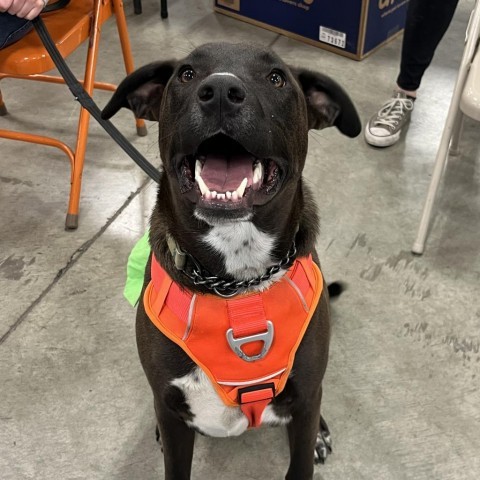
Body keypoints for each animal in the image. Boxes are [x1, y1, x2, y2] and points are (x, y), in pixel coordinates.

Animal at [102, 43, 360, 478]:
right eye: (187, 74)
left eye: (276, 78)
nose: (221, 91)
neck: (238, 283)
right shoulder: (171, 410)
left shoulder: (307, 395)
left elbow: (301, 457)